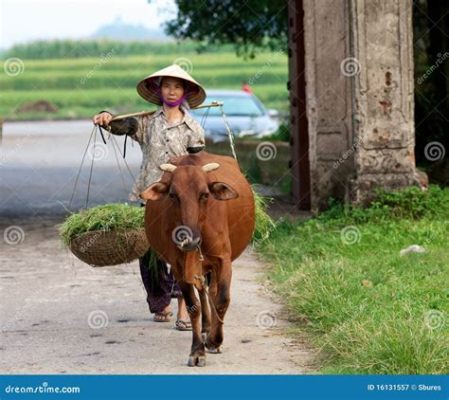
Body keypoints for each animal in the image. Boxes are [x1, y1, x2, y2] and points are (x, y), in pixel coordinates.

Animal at [140, 150, 254, 366]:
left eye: (204, 194)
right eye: (173, 195)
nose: (189, 239)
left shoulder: (223, 260)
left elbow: (222, 299)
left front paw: (215, 340)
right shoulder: (179, 266)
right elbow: (193, 306)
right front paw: (197, 351)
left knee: (213, 292)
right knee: (202, 292)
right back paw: (206, 327)